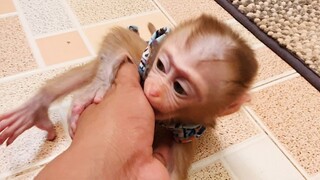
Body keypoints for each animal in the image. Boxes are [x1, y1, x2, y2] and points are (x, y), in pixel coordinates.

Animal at [0, 14, 256, 180]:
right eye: (161, 66)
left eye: (179, 88)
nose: (153, 90)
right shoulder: (146, 59)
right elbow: (119, 36)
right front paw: (100, 85)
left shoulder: (189, 129)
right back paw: (36, 107)